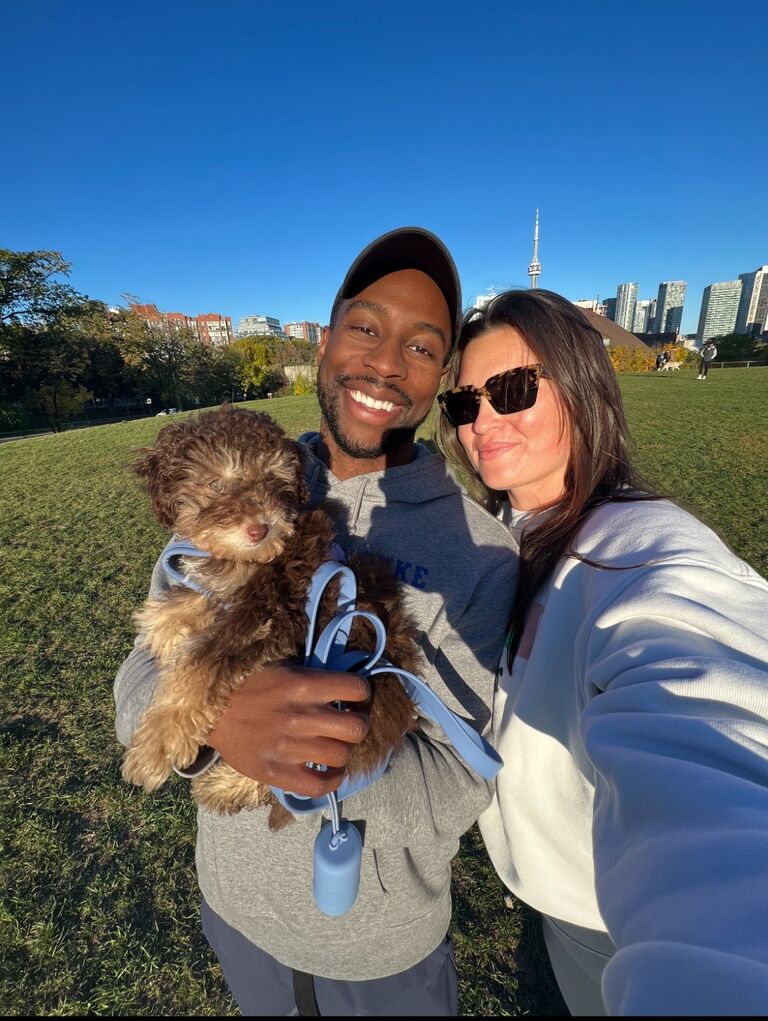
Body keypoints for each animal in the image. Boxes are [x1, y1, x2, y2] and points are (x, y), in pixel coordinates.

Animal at [120, 406, 420, 829]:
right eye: (216, 483)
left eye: (274, 479)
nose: (260, 528)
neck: (252, 560)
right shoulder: (229, 593)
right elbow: (181, 609)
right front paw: (166, 630)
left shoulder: (272, 615)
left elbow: (202, 663)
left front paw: (155, 746)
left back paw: (224, 786)